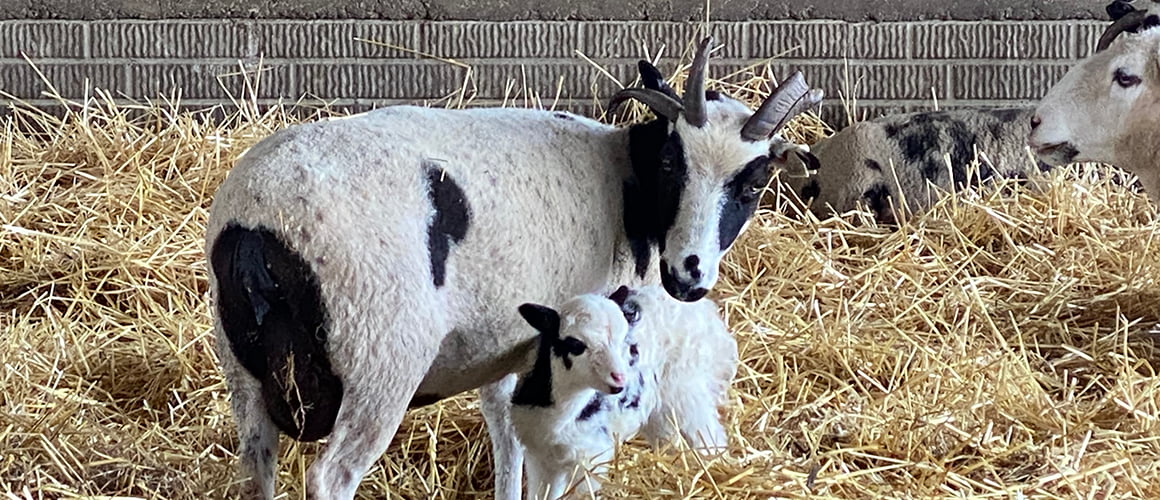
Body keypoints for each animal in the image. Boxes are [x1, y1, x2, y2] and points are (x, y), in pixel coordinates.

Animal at [510, 284, 736, 500]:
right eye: (576, 344)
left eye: (623, 341)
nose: (620, 379)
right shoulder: (540, 457)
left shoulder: (591, 459)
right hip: (663, 411)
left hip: (685, 389)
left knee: (707, 434)